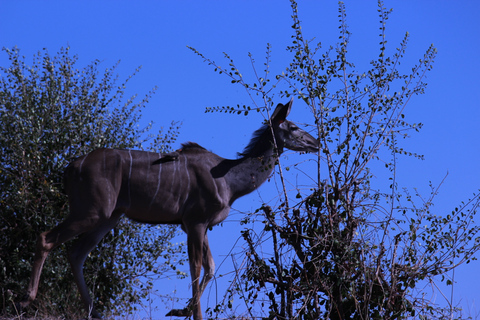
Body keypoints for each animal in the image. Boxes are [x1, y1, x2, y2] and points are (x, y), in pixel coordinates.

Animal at [18, 99, 318, 318]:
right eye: (292, 127)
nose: (315, 143)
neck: (230, 179)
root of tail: (70, 168)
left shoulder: (196, 225)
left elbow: (209, 267)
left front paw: (180, 310)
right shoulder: (195, 221)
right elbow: (196, 268)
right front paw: (192, 313)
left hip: (108, 218)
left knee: (76, 253)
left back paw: (92, 310)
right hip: (92, 212)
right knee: (47, 238)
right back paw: (26, 300)